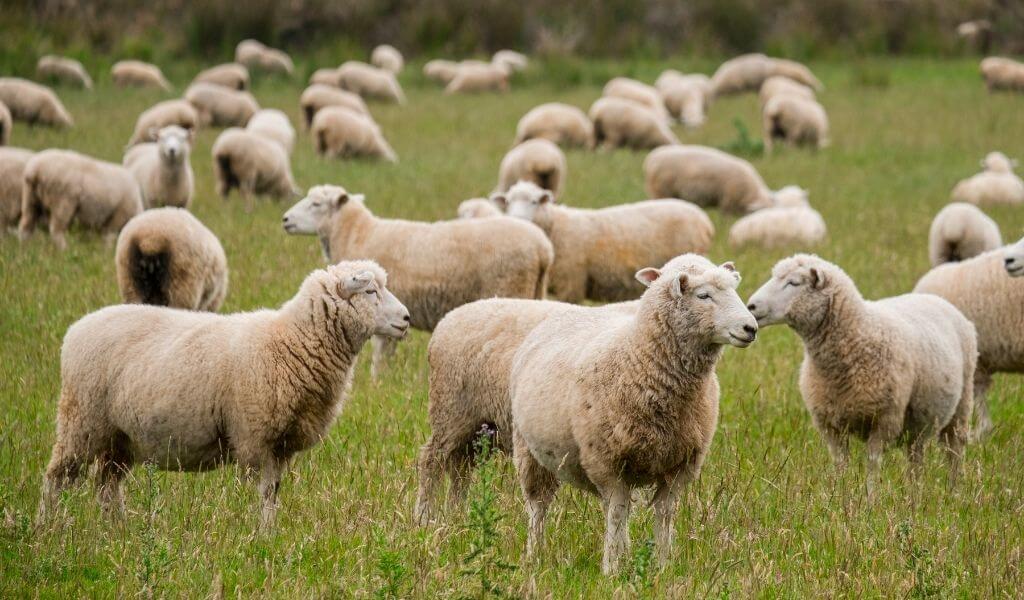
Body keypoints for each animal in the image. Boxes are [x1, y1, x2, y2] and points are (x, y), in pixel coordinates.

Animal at [37, 260, 409, 528]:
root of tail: (76, 329)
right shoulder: (254, 438)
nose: (406, 319)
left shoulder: (280, 444)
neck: (291, 341)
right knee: (57, 478)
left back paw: (117, 531)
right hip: (81, 421)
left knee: (106, 485)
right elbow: (262, 493)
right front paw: (258, 537)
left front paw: (270, 534)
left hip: (121, 436)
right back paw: (47, 528)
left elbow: (273, 495)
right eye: (371, 291)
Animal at [281, 185, 554, 376]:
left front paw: (377, 382)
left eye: (316, 203)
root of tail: (542, 248)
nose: (284, 219)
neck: (358, 233)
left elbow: (380, 351)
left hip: (511, 287)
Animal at [493, 180, 714, 303]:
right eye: (507, 202)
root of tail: (705, 220)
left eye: (534, 202)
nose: (517, 219)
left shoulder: (571, 285)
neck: (555, 228)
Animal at [510, 256, 756, 574]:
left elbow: (664, 514)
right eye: (703, 296)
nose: (750, 328)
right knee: (538, 507)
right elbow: (616, 513)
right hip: (528, 451)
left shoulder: (680, 464)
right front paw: (611, 569)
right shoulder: (607, 463)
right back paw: (534, 555)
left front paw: (662, 565)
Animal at [748, 254, 976, 496]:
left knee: (954, 451)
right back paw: (914, 494)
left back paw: (954, 491)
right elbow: (841, 465)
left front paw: (870, 499)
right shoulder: (831, 426)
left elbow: (872, 467)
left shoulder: (883, 421)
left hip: (961, 406)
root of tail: (934, 298)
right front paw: (838, 496)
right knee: (916, 458)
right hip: (918, 421)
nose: (751, 305)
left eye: (794, 283)